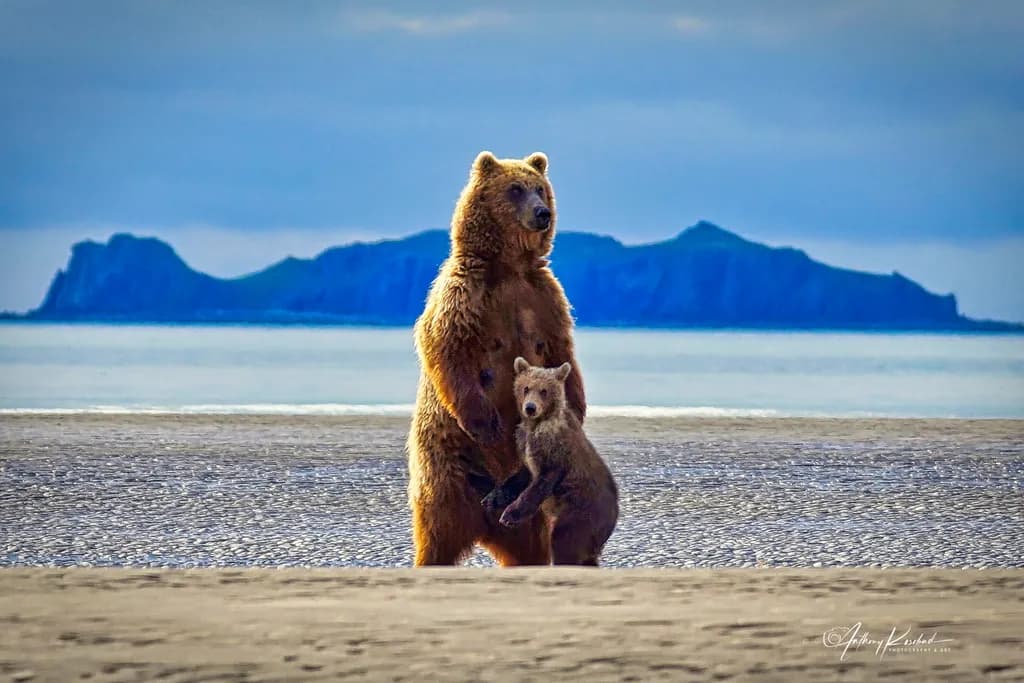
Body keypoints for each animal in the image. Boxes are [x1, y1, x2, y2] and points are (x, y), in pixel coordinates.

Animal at [407, 151, 586, 566]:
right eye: (515, 188)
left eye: (540, 189)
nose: (542, 213)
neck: (509, 268)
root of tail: (482, 525)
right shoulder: (464, 293)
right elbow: (446, 346)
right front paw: (486, 423)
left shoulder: (545, 300)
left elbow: (563, 355)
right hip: (446, 469)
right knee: (436, 533)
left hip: (528, 512)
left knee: (531, 540)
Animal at [483, 357, 618, 566]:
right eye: (526, 388)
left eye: (544, 390)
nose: (530, 408)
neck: (536, 425)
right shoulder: (524, 445)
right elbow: (521, 475)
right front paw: (492, 498)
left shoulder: (555, 451)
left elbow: (540, 482)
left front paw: (509, 515)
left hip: (579, 513)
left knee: (564, 542)